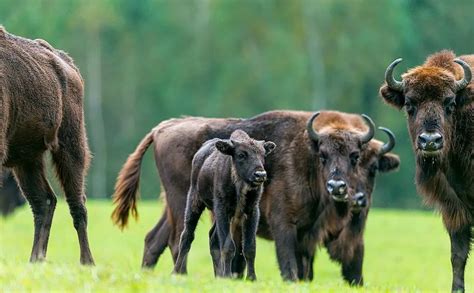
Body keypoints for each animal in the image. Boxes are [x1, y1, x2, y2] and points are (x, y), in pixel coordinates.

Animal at [0, 26, 94, 264]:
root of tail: (68, 63)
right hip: (26, 158)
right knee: (43, 202)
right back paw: (36, 259)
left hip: (70, 145)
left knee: (77, 203)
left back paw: (87, 262)